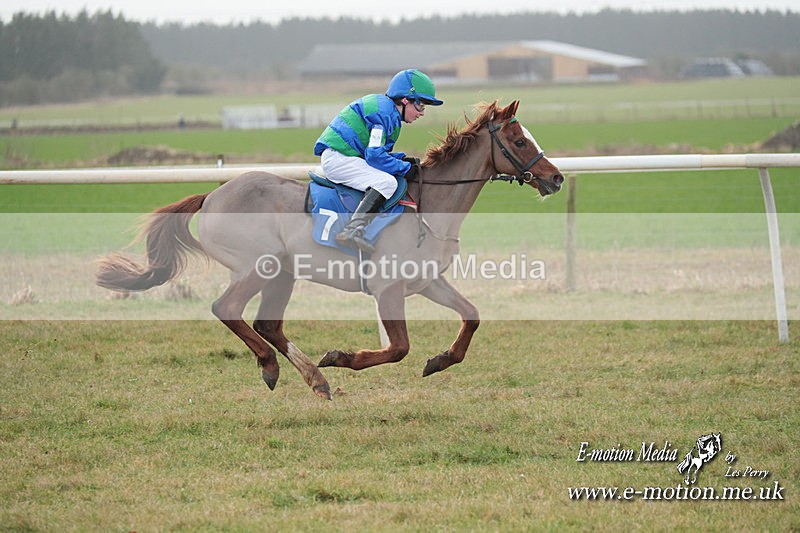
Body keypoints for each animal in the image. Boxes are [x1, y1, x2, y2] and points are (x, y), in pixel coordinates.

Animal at [96, 100, 564, 400]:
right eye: (519, 142)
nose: (556, 178)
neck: (431, 206)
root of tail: (211, 196)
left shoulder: (427, 281)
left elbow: (471, 317)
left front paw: (440, 359)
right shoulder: (388, 290)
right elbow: (398, 348)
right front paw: (341, 356)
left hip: (283, 273)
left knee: (268, 324)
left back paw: (312, 379)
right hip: (258, 267)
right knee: (226, 309)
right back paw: (273, 365)